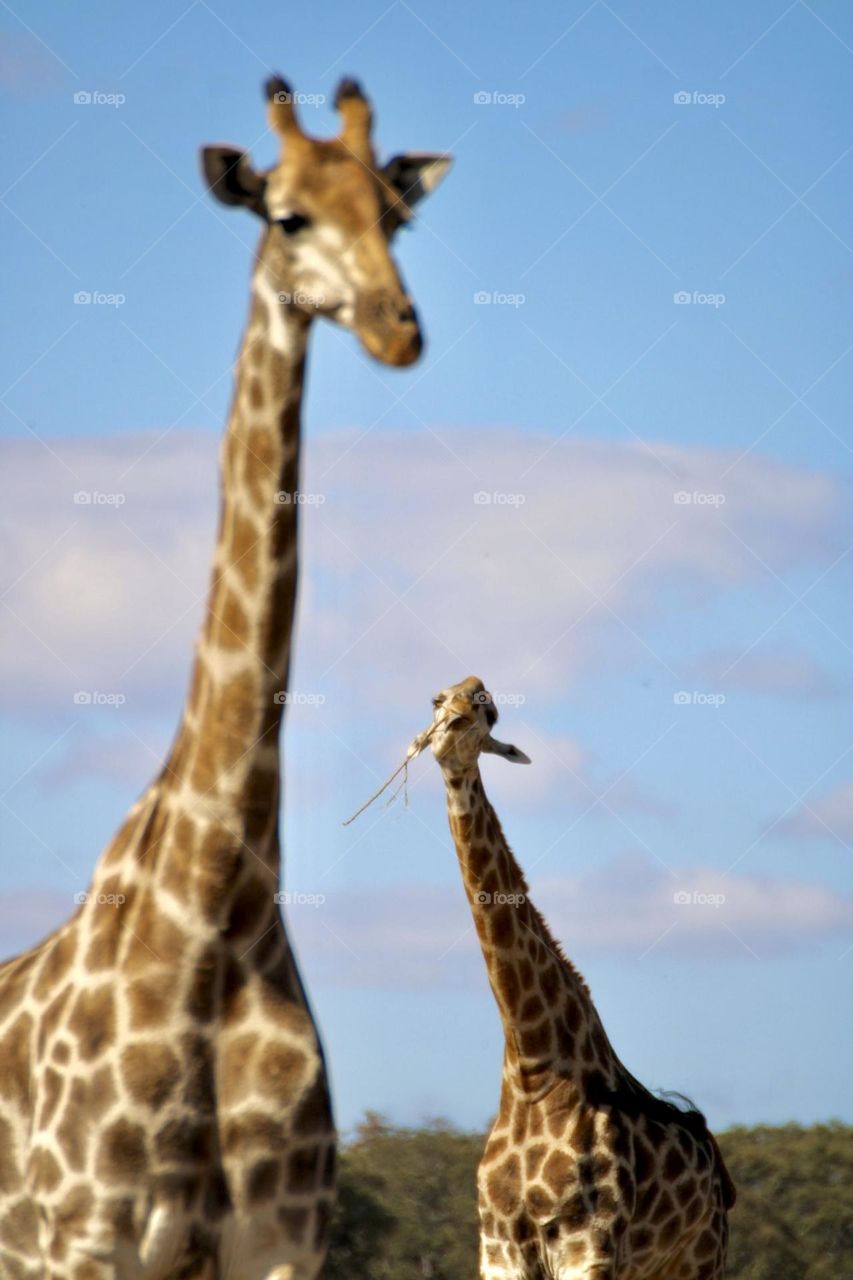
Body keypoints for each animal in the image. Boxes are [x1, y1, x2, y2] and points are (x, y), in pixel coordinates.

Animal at [0, 76, 450, 1280]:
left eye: (397, 216)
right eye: (287, 216)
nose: (397, 328)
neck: (213, 912)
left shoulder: (281, 1240)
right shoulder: (85, 1238)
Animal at [419, 677, 736, 1280]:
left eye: (488, 711)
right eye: (436, 701)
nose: (461, 708)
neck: (533, 1070)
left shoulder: (589, 1247)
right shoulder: (499, 1252)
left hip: (699, 1261)